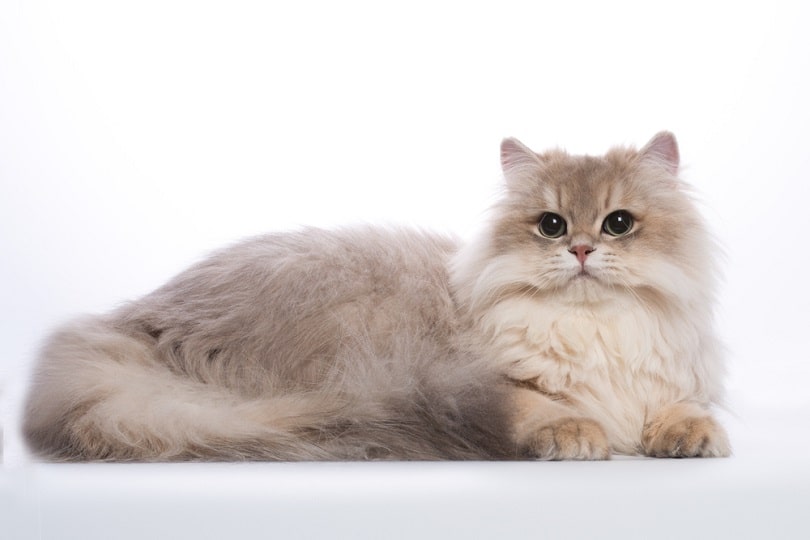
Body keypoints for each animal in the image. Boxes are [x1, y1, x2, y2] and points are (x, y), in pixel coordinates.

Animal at [20, 133, 724, 462]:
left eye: (618, 224)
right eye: (551, 226)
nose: (579, 251)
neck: (596, 331)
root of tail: (133, 324)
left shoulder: (663, 380)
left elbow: (681, 411)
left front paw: (690, 437)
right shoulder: (481, 380)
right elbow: (542, 405)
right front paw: (578, 433)